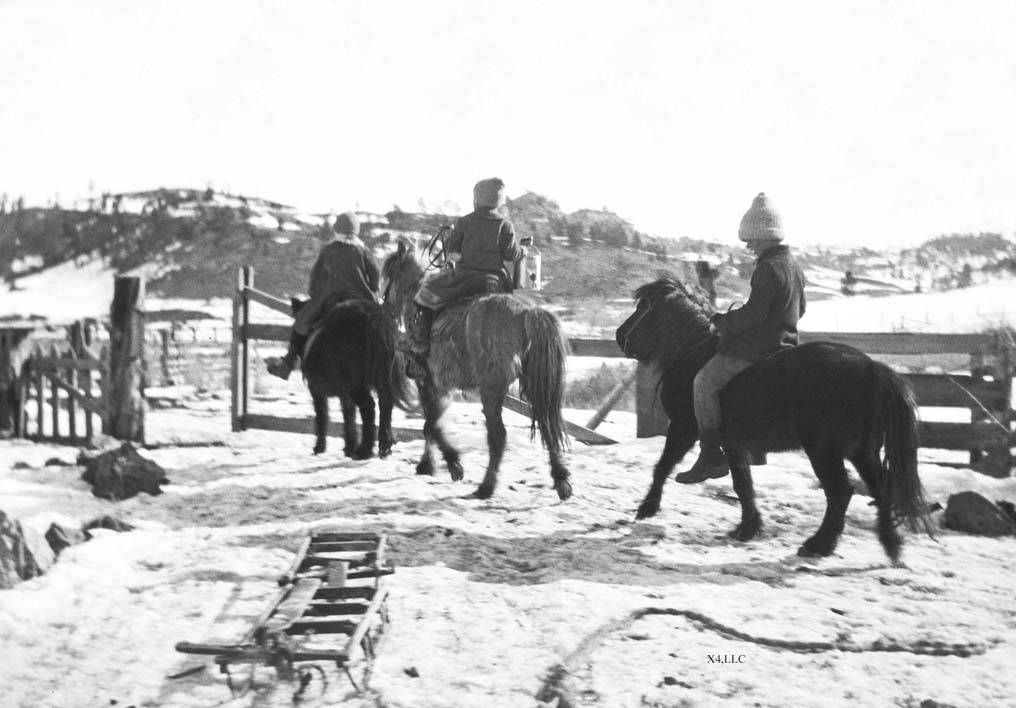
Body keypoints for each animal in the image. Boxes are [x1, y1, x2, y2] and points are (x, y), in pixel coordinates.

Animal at [290, 296, 412, 459]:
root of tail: (372, 321)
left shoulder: (317, 391)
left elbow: (322, 415)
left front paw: (319, 448)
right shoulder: (344, 394)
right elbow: (349, 416)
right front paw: (349, 447)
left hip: (357, 386)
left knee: (368, 407)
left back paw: (364, 450)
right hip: (380, 380)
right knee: (385, 404)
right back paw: (383, 447)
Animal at [382, 242, 573, 501]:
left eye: (390, 272)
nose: (385, 305)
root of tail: (526, 313)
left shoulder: (427, 382)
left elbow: (432, 424)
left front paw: (451, 463)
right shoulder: (441, 387)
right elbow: (433, 423)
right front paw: (428, 464)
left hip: (491, 389)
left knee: (498, 436)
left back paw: (486, 486)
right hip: (535, 384)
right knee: (547, 424)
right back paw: (561, 479)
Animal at [613, 278, 930, 560]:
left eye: (643, 307)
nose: (619, 335)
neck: (691, 352)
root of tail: (872, 368)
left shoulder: (684, 428)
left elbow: (663, 466)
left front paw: (647, 508)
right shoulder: (734, 444)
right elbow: (743, 484)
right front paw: (748, 528)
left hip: (825, 451)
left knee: (841, 492)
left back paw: (818, 545)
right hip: (861, 451)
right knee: (880, 487)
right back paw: (890, 544)